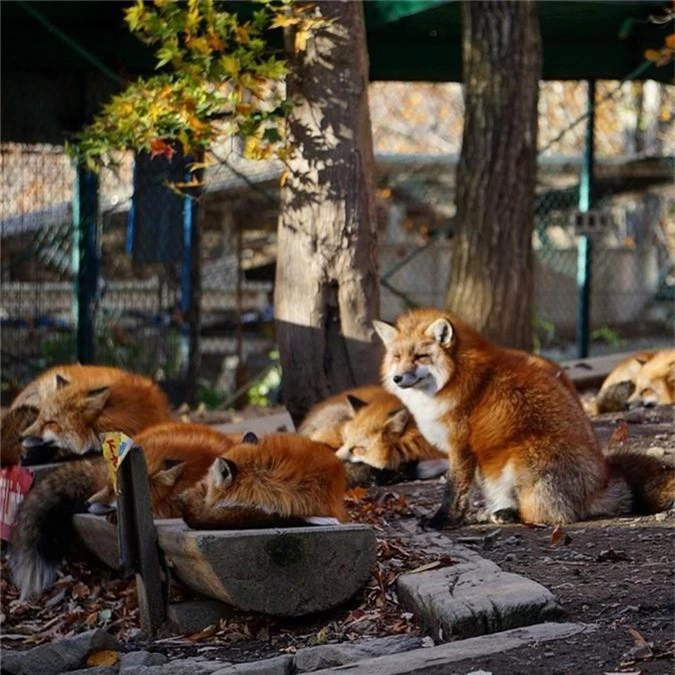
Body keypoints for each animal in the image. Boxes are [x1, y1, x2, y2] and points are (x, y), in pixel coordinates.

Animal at [374, 308, 675, 532]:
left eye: (420, 356)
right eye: (397, 356)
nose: (397, 378)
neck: (455, 379)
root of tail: (604, 484)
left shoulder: (460, 446)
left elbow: (453, 491)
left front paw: (442, 521)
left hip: (524, 457)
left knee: (553, 516)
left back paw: (510, 516)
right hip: (491, 468)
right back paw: (497, 511)